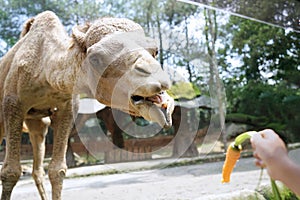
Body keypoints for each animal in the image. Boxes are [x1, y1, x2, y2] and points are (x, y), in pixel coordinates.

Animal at [0, 11, 175, 200]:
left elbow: (57, 170)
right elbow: (10, 172)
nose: (156, 79)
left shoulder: (67, 108)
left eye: (155, 50)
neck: (44, 71)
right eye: (95, 59)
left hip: (37, 124)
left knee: (38, 166)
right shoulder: (13, 104)